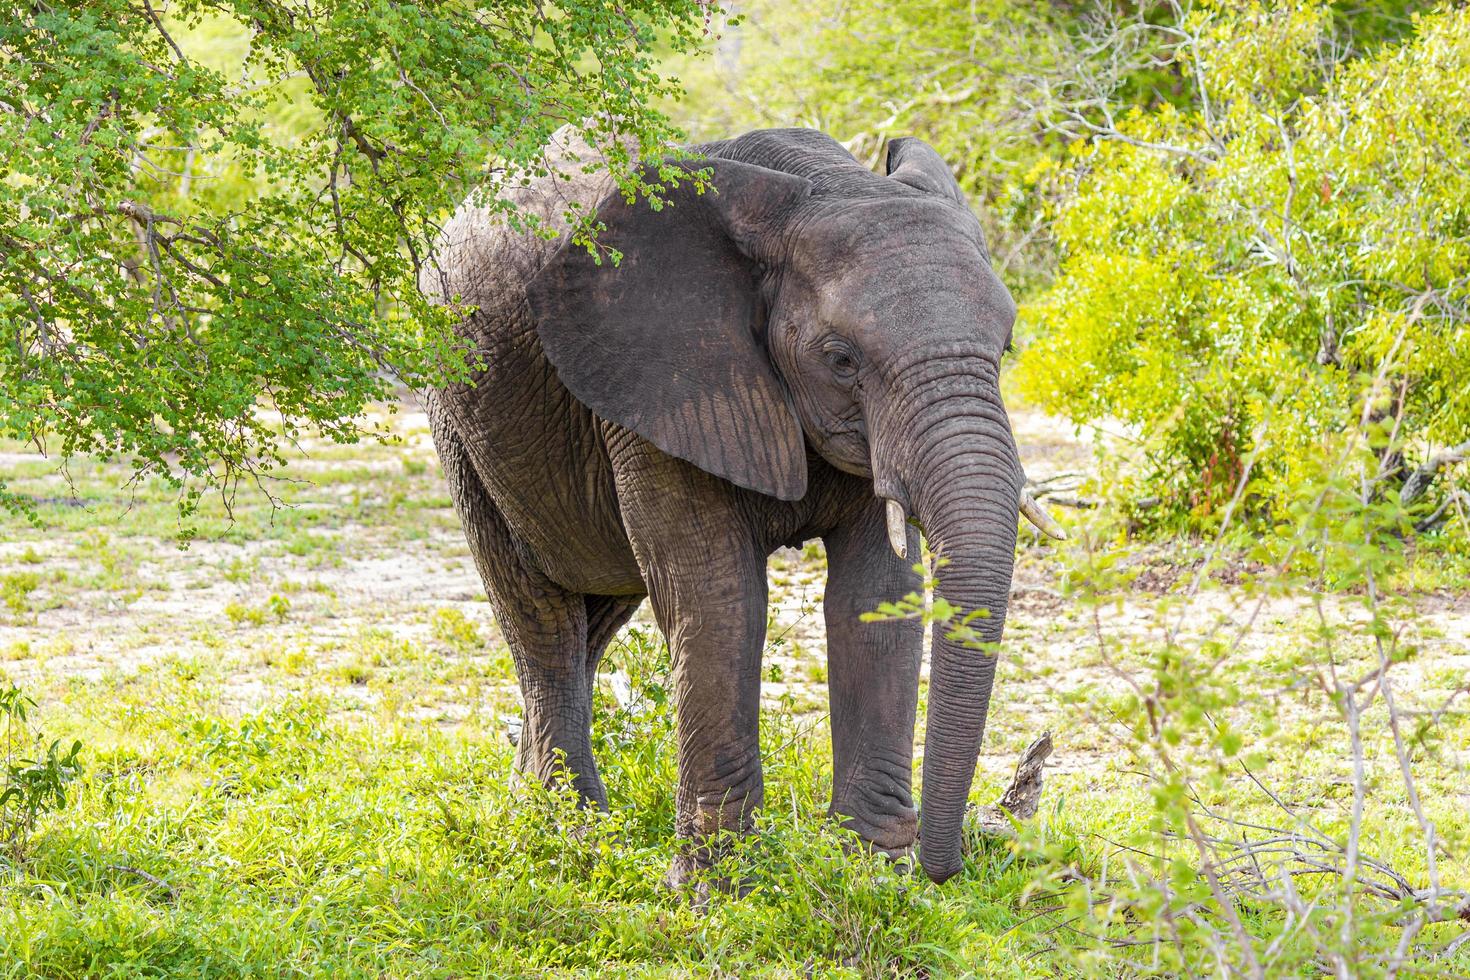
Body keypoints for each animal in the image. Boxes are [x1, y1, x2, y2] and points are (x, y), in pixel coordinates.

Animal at [420, 126, 1064, 887]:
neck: (816, 188)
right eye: (841, 359)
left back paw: (535, 804)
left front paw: (867, 874)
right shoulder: (665, 384)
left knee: (596, 611)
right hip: (456, 410)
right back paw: (570, 833)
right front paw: (719, 891)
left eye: (1006, 346)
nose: (944, 867)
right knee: (541, 614)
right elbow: (721, 600)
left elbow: (875, 594)